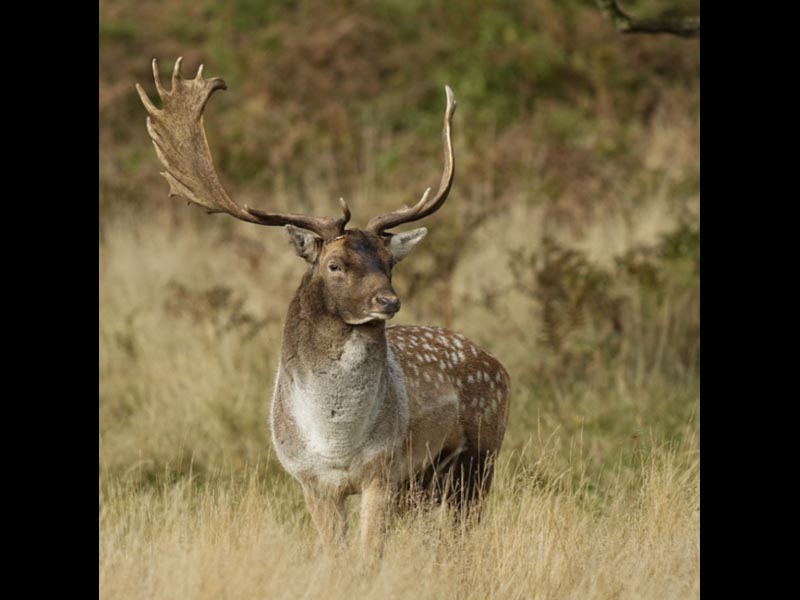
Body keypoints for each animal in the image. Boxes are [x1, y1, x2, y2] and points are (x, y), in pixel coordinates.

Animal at [137, 57, 510, 558]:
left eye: (390, 262)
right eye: (335, 264)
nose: (388, 301)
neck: (335, 444)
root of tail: (496, 363)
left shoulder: (382, 470)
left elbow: (370, 556)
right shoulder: (309, 480)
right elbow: (336, 556)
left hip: (480, 455)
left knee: (466, 530)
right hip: (429, 479)